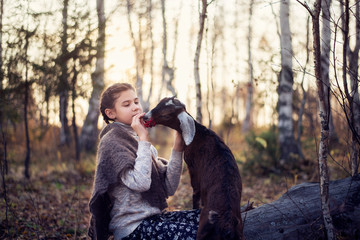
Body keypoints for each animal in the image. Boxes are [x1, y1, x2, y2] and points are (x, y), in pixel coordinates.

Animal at [142, 96, 243, 240]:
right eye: (160, 102)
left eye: (166, 115)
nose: (146, 116)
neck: (198, 135)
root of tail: (227, 223)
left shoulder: (193, 167)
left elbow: (196, 191)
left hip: (202, 228)